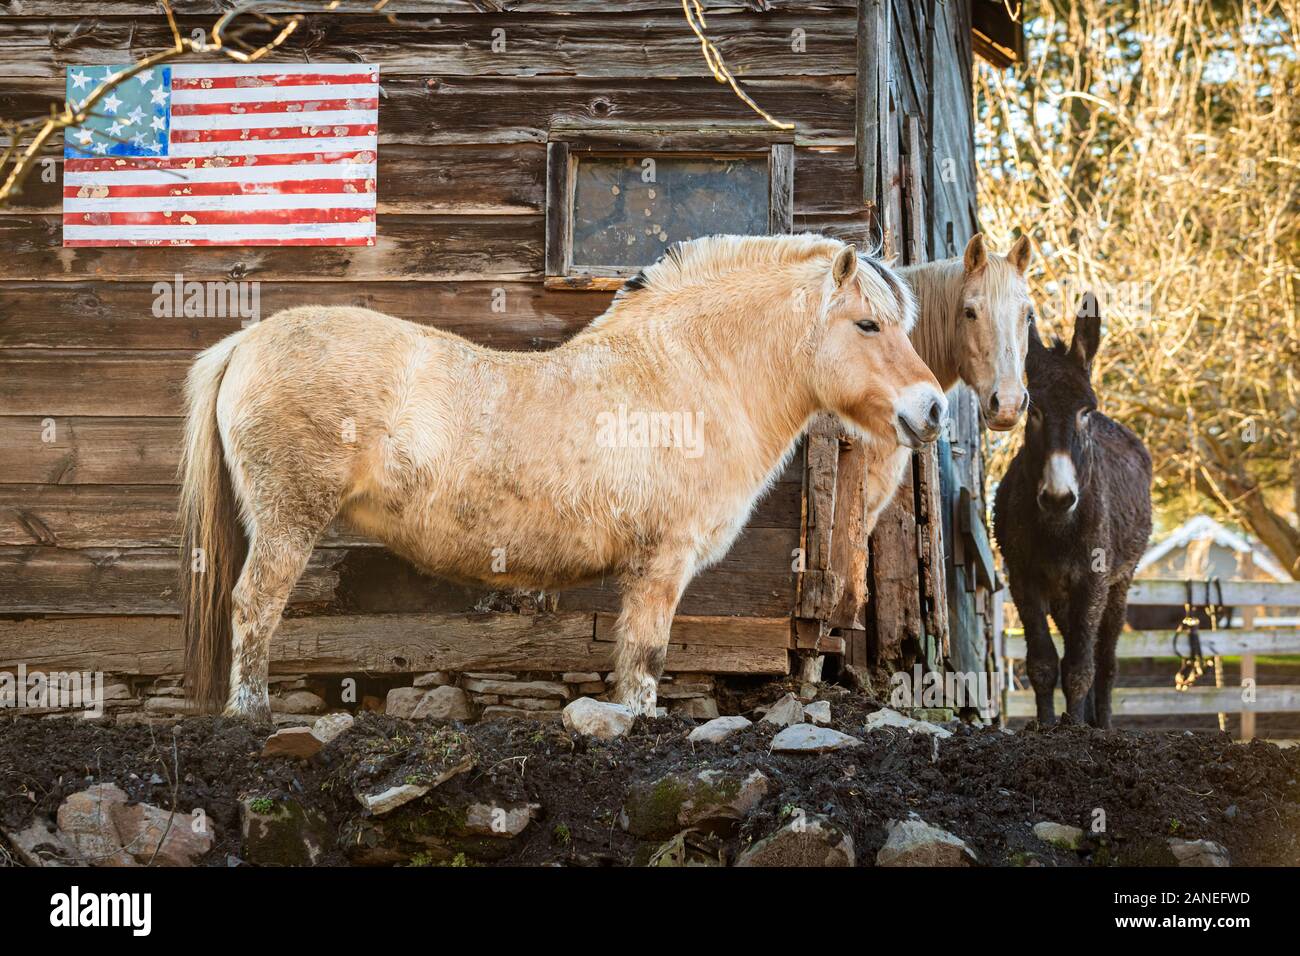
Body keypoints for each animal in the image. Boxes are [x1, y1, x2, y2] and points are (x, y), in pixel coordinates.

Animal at [179, 233, 948, 720]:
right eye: (868, 325)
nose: (932, 408)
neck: (683, 377)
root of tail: (246, 340)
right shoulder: (662, 563)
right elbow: (647, 657)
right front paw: (635, 722)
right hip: (287, 520)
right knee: (254, 606)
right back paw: (251, 713)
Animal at [993, 293, 1153, 727]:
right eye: (1033, 411)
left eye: (1085, 412)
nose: (1058, 498)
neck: (1058, 530)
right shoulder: (1023, 579)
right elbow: (1044, 664)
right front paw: (1048, 726)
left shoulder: (1093, 581)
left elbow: (1081, 667)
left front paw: (1077, 728)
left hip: (1119, 583)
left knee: (1106, 659)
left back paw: (1103, 724)